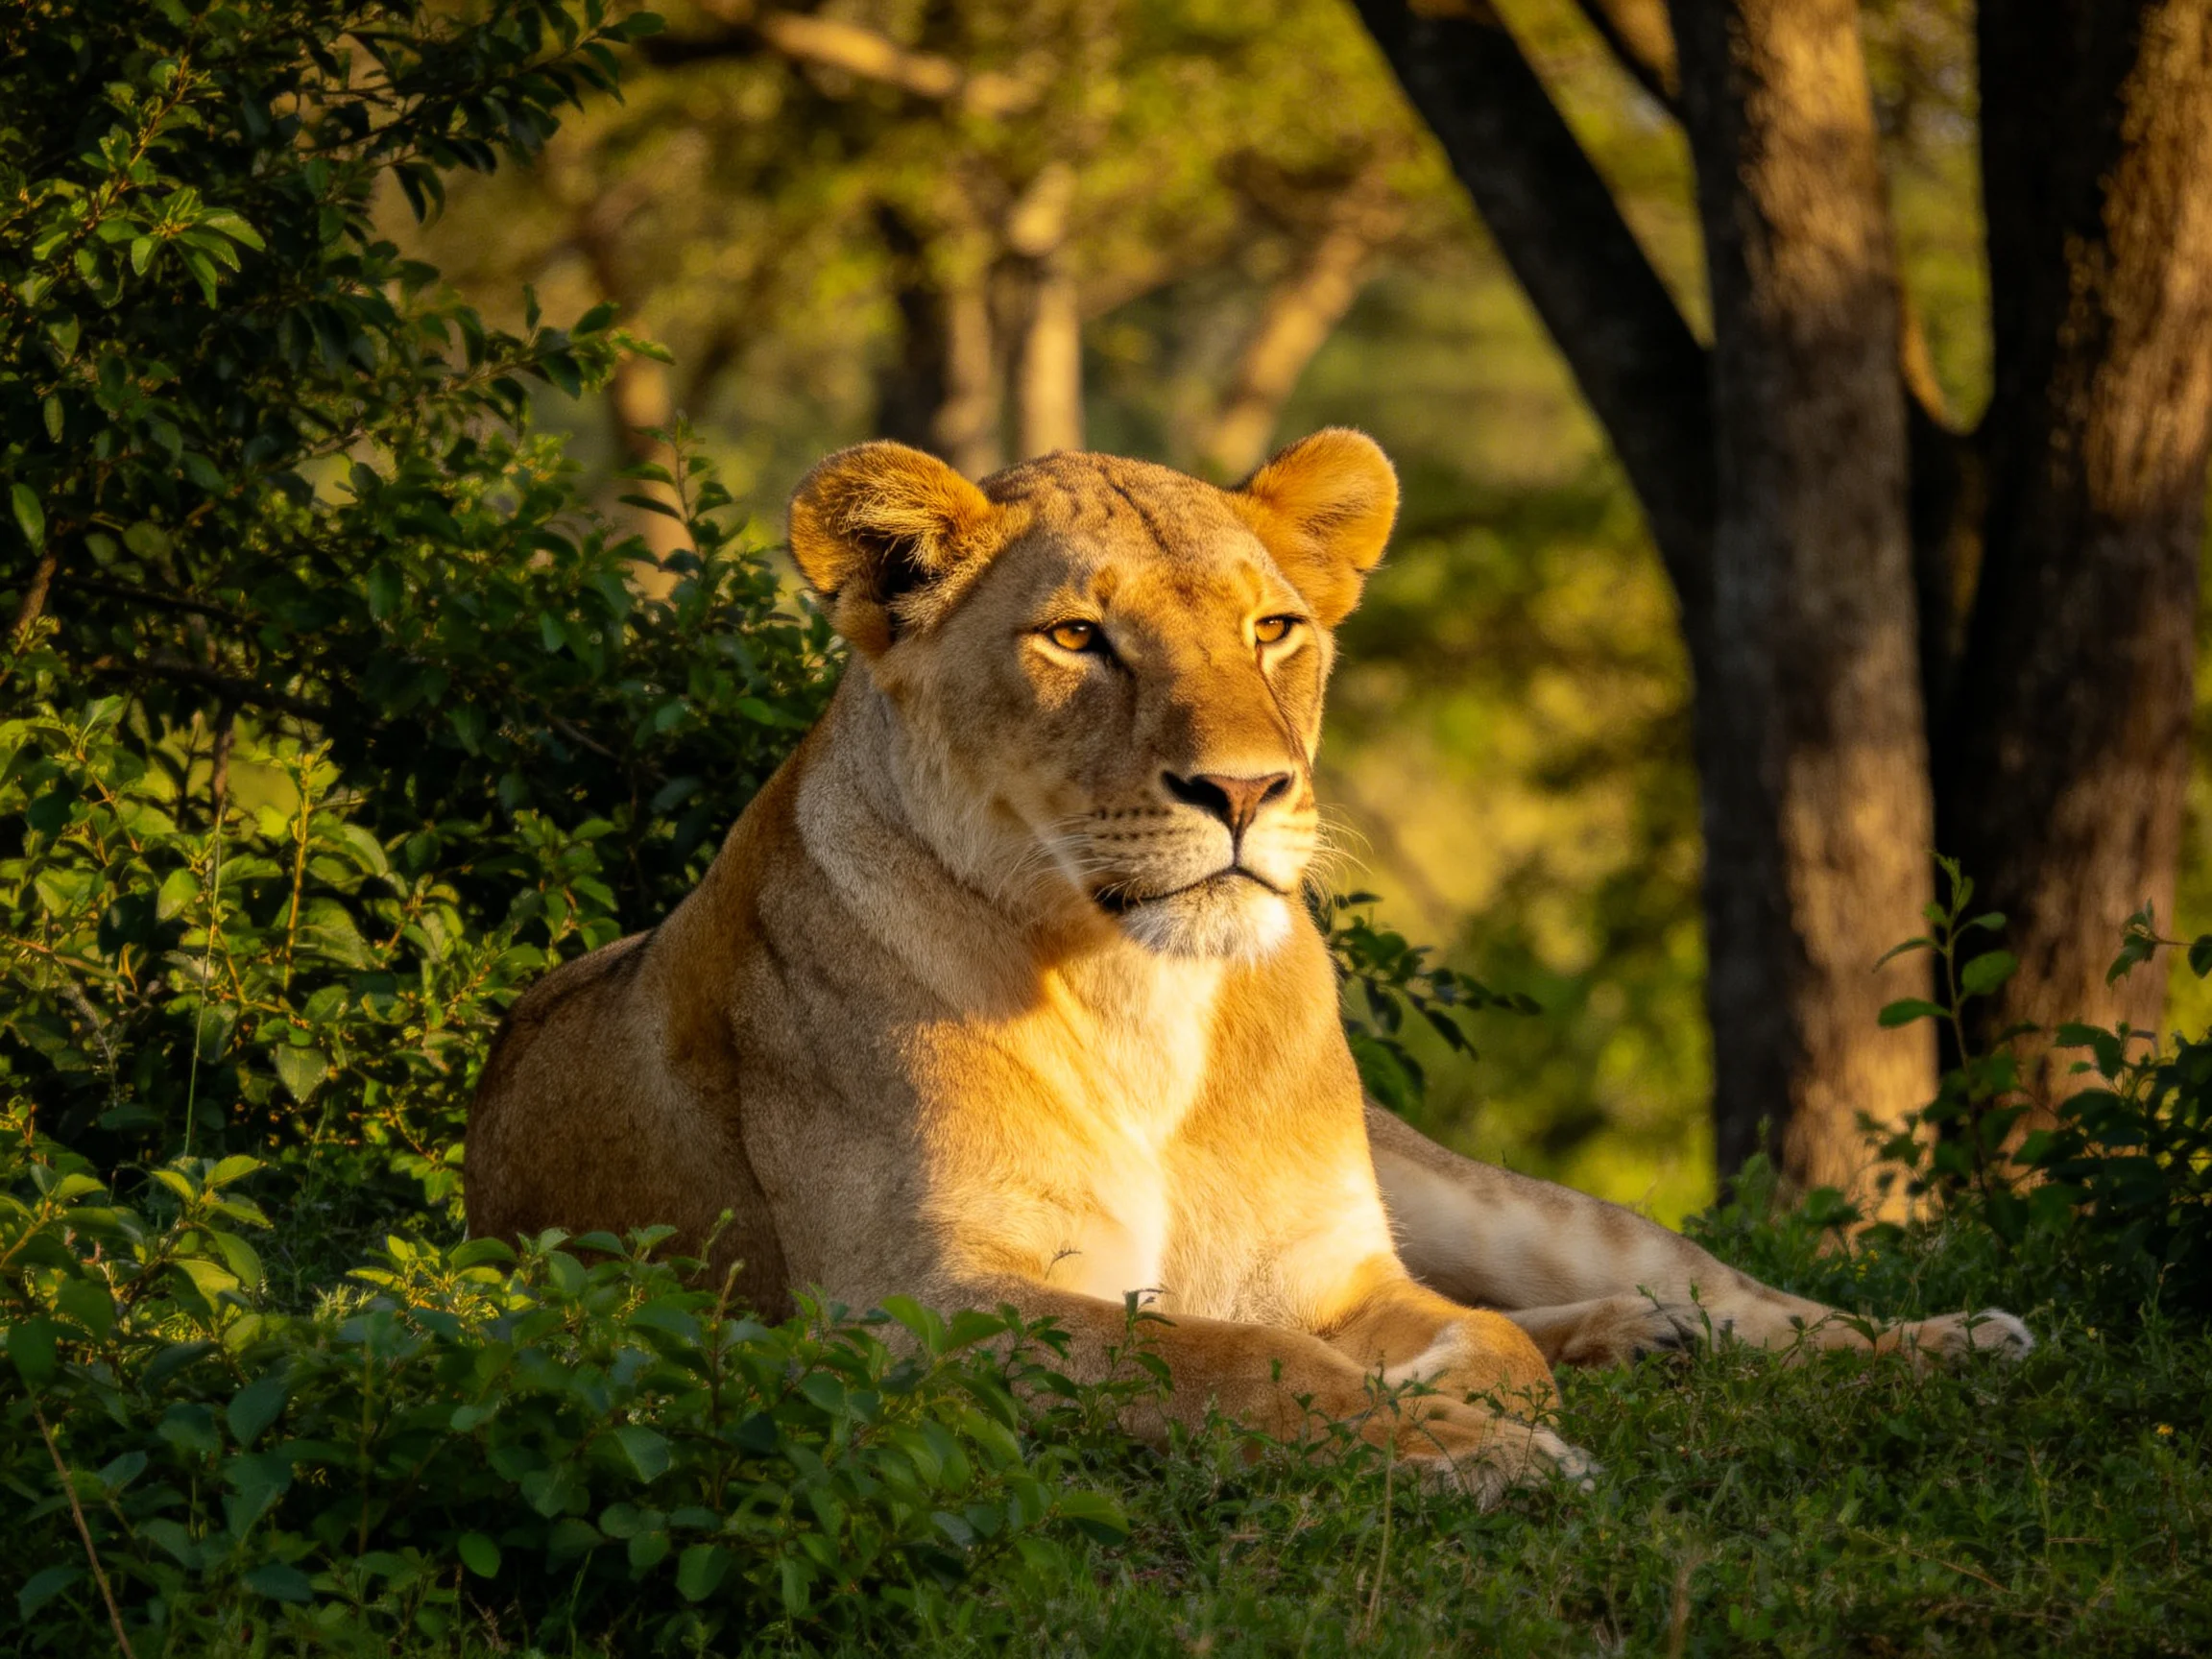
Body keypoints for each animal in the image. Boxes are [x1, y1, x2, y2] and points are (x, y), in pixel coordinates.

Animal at [466, 430, 2031, 1500]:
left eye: (1273, 627)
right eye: (1076, 637)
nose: (1244, 791)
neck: (1139, 993)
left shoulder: (1333, 1264)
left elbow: (1477, 1346)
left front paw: (1472, 1396)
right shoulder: (910, 1306)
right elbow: (1230, 1356)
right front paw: (1478, 1448)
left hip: (1468, 1195)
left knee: (1718, 1286)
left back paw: (1937, 1340)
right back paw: (1647, 1348)